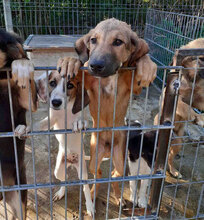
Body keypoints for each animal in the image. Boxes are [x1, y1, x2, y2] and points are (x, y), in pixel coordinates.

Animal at [55, 18, 156, 205]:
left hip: (120, 159)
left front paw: (147, 65)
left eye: (118, 42)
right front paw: (70, 61)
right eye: (93, 40)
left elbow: (139, 64)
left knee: (114, 175)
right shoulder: (88, 81)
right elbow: (80, 69)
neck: (110, 78)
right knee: (99, 174)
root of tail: (108, 148)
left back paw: (118, 197)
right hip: (94, 157)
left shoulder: (135, 87)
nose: (95, 65)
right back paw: (93, 193)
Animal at [155, 37, 204, 179]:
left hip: (179, 142)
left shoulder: (197, 98)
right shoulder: (173, 94)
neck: (192, 80)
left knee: (170, 158)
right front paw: (198, 118)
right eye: (201, 59)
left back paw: (173, 171)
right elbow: (186, 107)